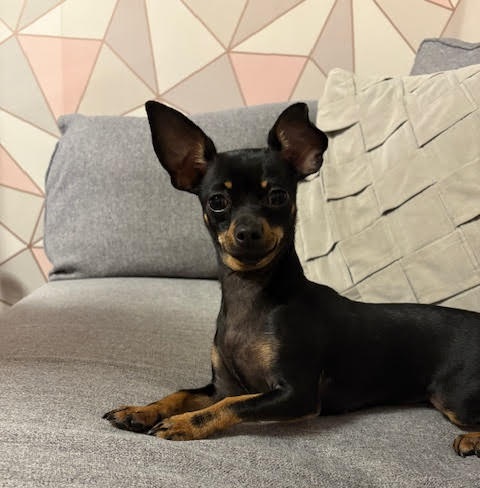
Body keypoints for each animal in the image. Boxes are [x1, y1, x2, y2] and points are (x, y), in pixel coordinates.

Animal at [104, 101, 480, 457]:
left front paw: (184, 423)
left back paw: (472, 440)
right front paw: (141, 410)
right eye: (217, 201)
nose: (248, 232)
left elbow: (231, 405)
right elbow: (181, 393)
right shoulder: (222, 386)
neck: (251, 295)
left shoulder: (296, 394)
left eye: (278, 196)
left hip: (453, 396)